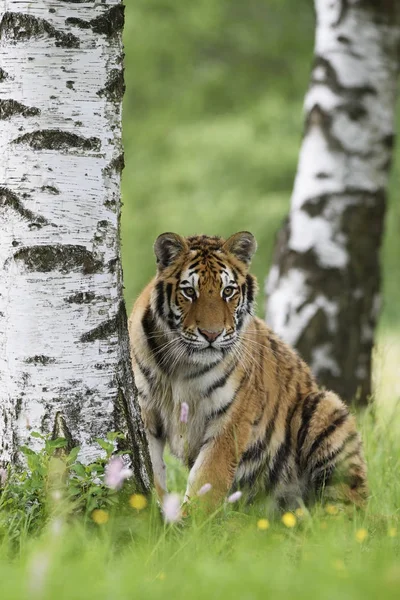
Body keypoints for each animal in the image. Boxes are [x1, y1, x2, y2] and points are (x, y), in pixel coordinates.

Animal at [129, 231, 368, 510]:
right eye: (189, 292)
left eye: (228, 291)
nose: (211, 334)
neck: (181, 363)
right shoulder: (146, 414)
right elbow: (152, 470)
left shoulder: (231, 418)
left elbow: (208, 479)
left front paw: (191, 520)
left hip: (326, 407)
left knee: (346, 504)